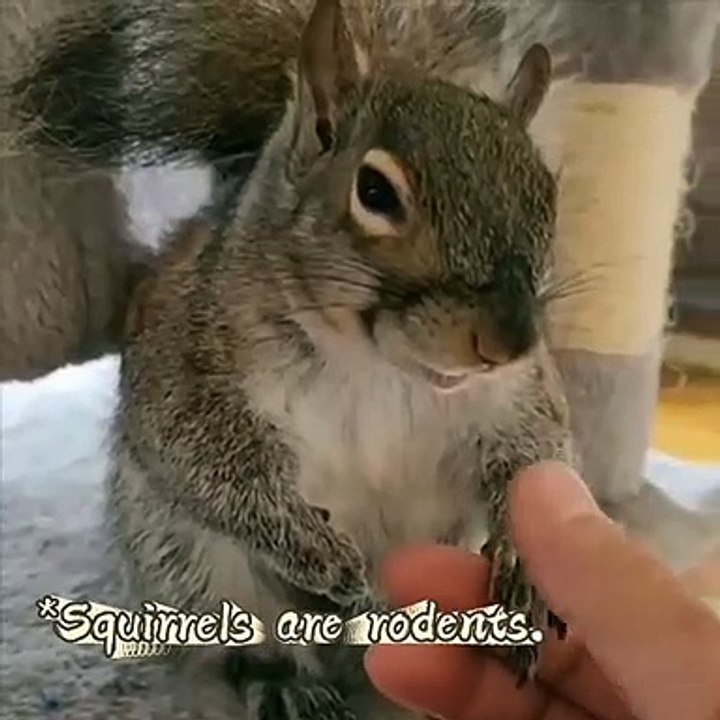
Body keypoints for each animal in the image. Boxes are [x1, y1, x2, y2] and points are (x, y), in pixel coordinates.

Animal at [108, 0, 575, 718]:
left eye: (547, 195)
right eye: (375, 192)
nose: (509, 342)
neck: (378, 368)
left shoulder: (519, 397)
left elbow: (537, 460)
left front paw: (525, 574)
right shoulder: (190, 356)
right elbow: (198, 451)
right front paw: (314, 548)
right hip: (189, 561)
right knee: (245, 632)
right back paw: (286, 681)